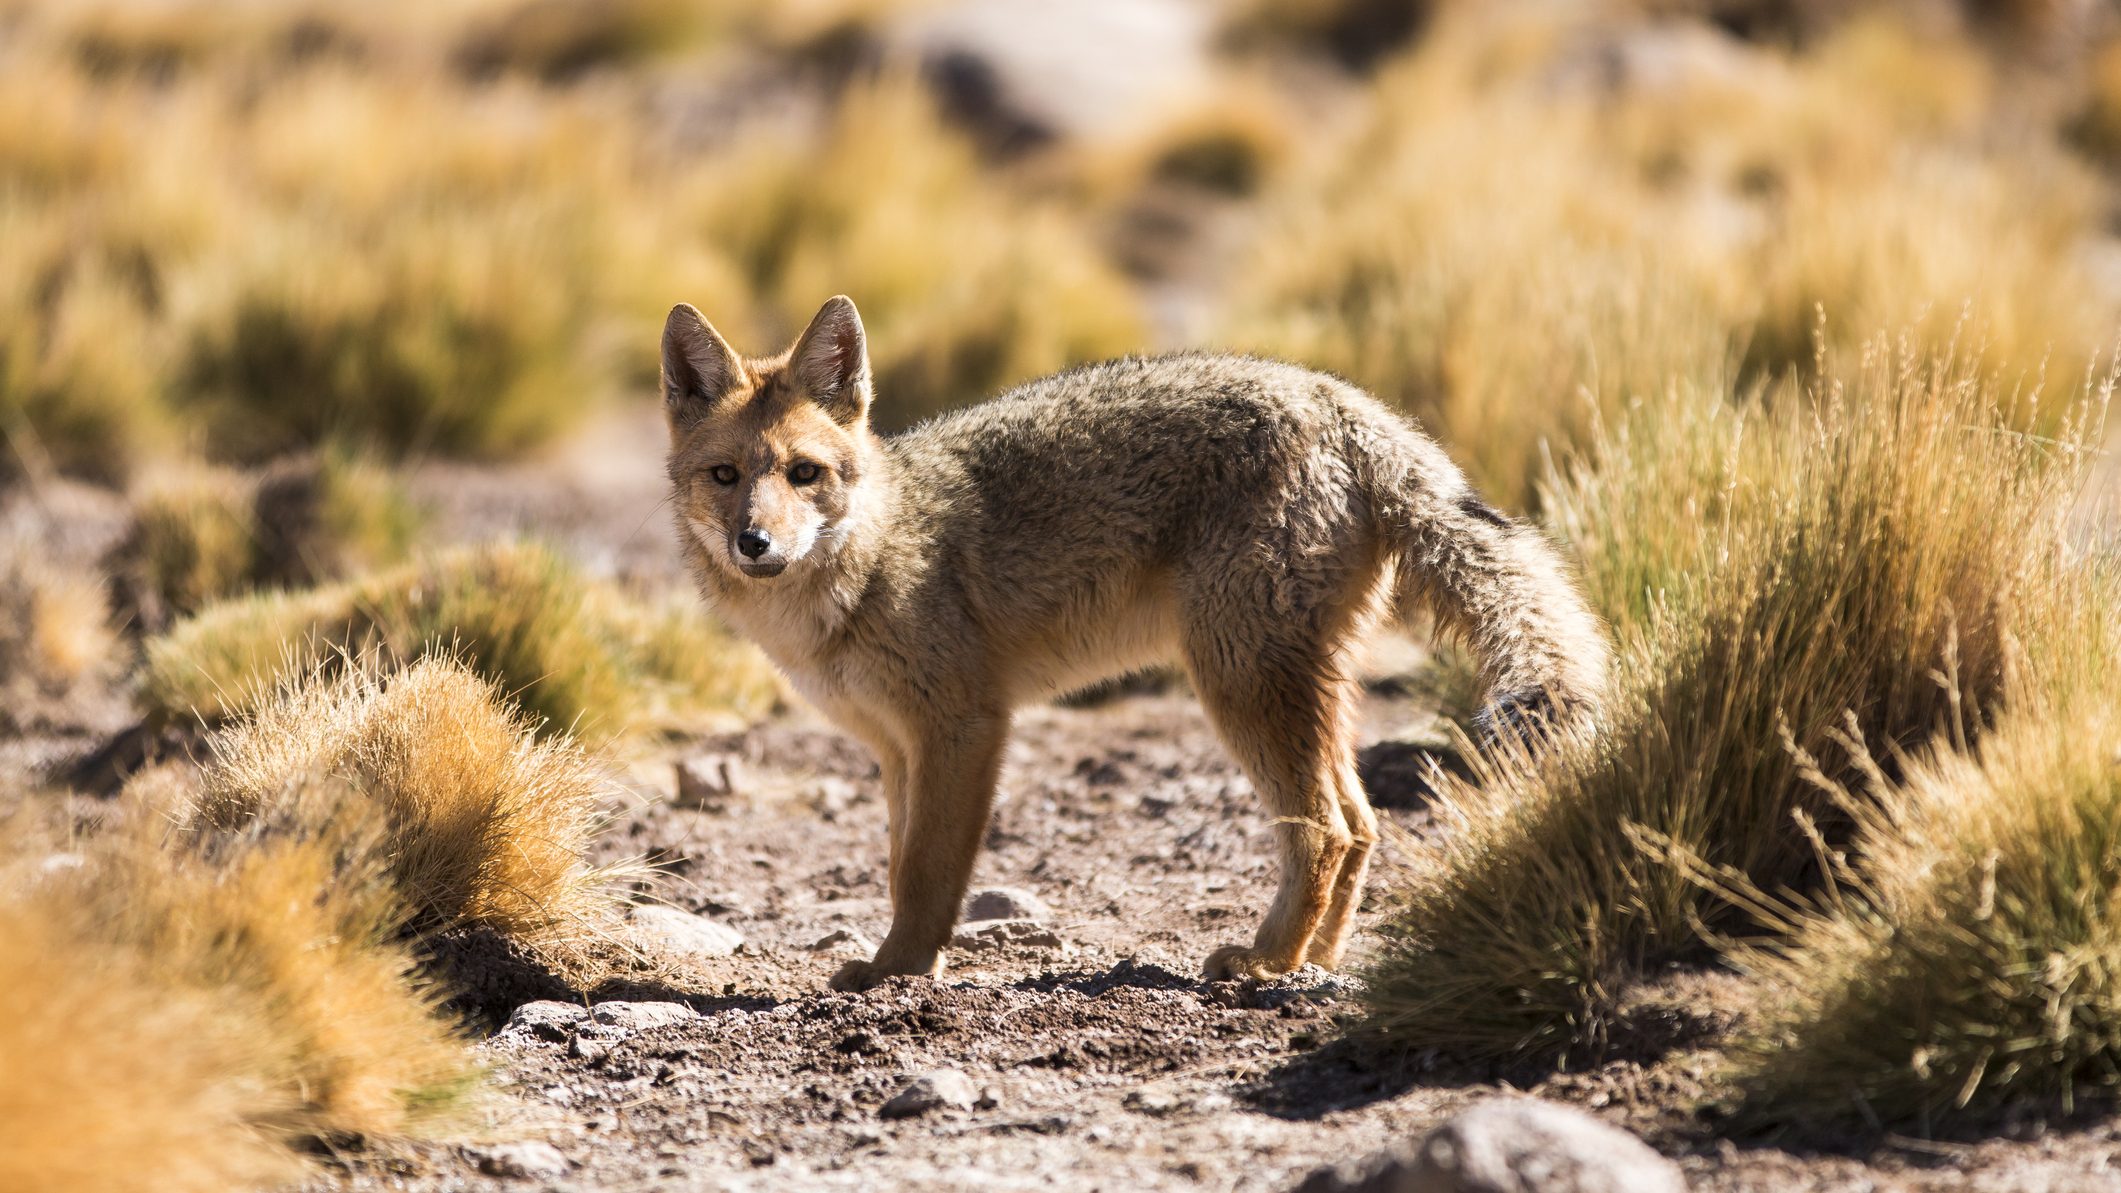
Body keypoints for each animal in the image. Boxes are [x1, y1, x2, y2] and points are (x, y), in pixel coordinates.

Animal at [661, 295, 1603, 984]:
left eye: (803, 473)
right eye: (725, 476)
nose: (755, 544)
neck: (865, 560)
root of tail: (1347, 402)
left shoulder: (964, 727)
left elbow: (926, 872)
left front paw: (897, 970)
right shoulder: (896, 747)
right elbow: (898, 862)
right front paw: (896, 959)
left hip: (1237, 684)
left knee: (1325, 829)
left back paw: (1263, 961)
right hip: (1294, 686)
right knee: (1363, 825)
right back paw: (1314, 960)